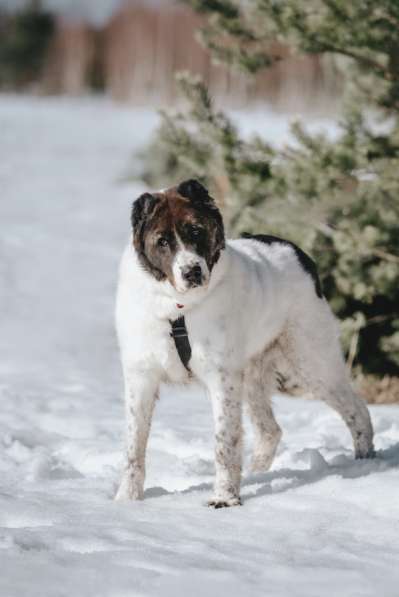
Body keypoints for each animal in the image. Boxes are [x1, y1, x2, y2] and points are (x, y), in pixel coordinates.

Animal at [115, 178, 376, 508]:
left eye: (195, 231)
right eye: (162, 241)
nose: (192, 271)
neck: (177, 309)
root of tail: (299, 253)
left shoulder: (221, 376)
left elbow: (224, 441)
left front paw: (224, 499)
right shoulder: (141, 375)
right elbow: (133, 446)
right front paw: (126, 499)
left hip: (312, 361)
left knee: (357, 408)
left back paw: (366, 462)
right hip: (253, 374)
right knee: (270, 430)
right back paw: (257, 475)